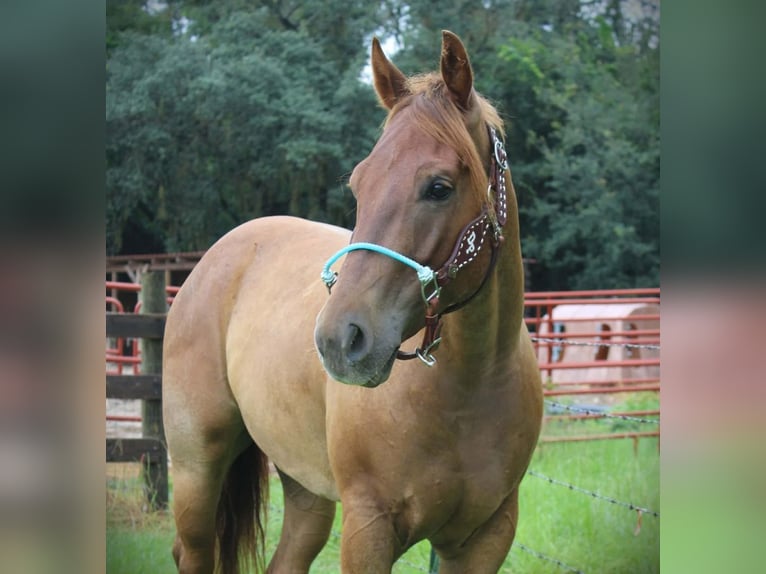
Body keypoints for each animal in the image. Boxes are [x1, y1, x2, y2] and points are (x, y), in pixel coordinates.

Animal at [163, 30, 543, 574]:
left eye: (439, 187)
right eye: (360, 185)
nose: (339, 340)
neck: (470, 388)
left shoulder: (485, 537)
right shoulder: (368, 529)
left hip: (305, 490)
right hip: (196, 467)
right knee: (194, 548)